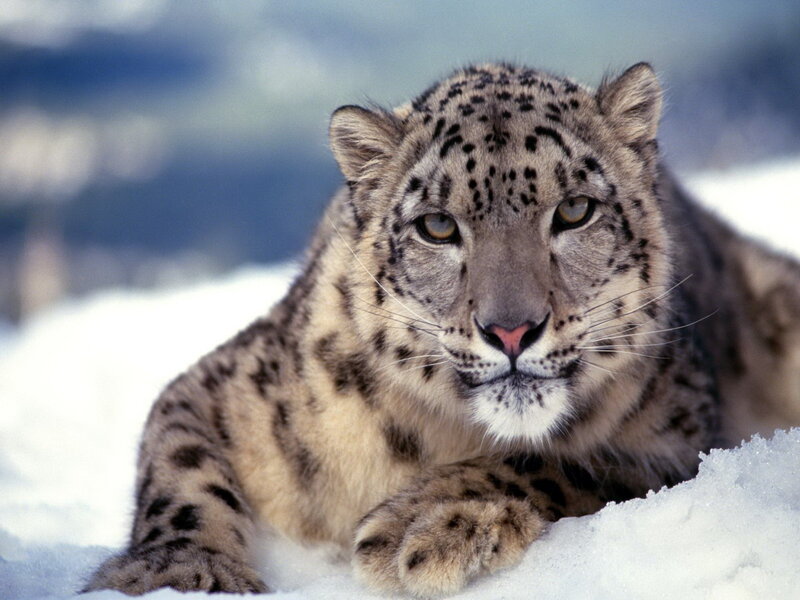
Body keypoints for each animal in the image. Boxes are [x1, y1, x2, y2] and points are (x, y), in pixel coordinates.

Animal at [83, 62, 800, 597]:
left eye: (575, 210)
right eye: (436, 225)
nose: (511, 330)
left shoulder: (682, 438)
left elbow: (567, 460)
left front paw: (420, 524)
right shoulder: (224, 387)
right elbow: (180, 466)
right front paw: (178, 574)